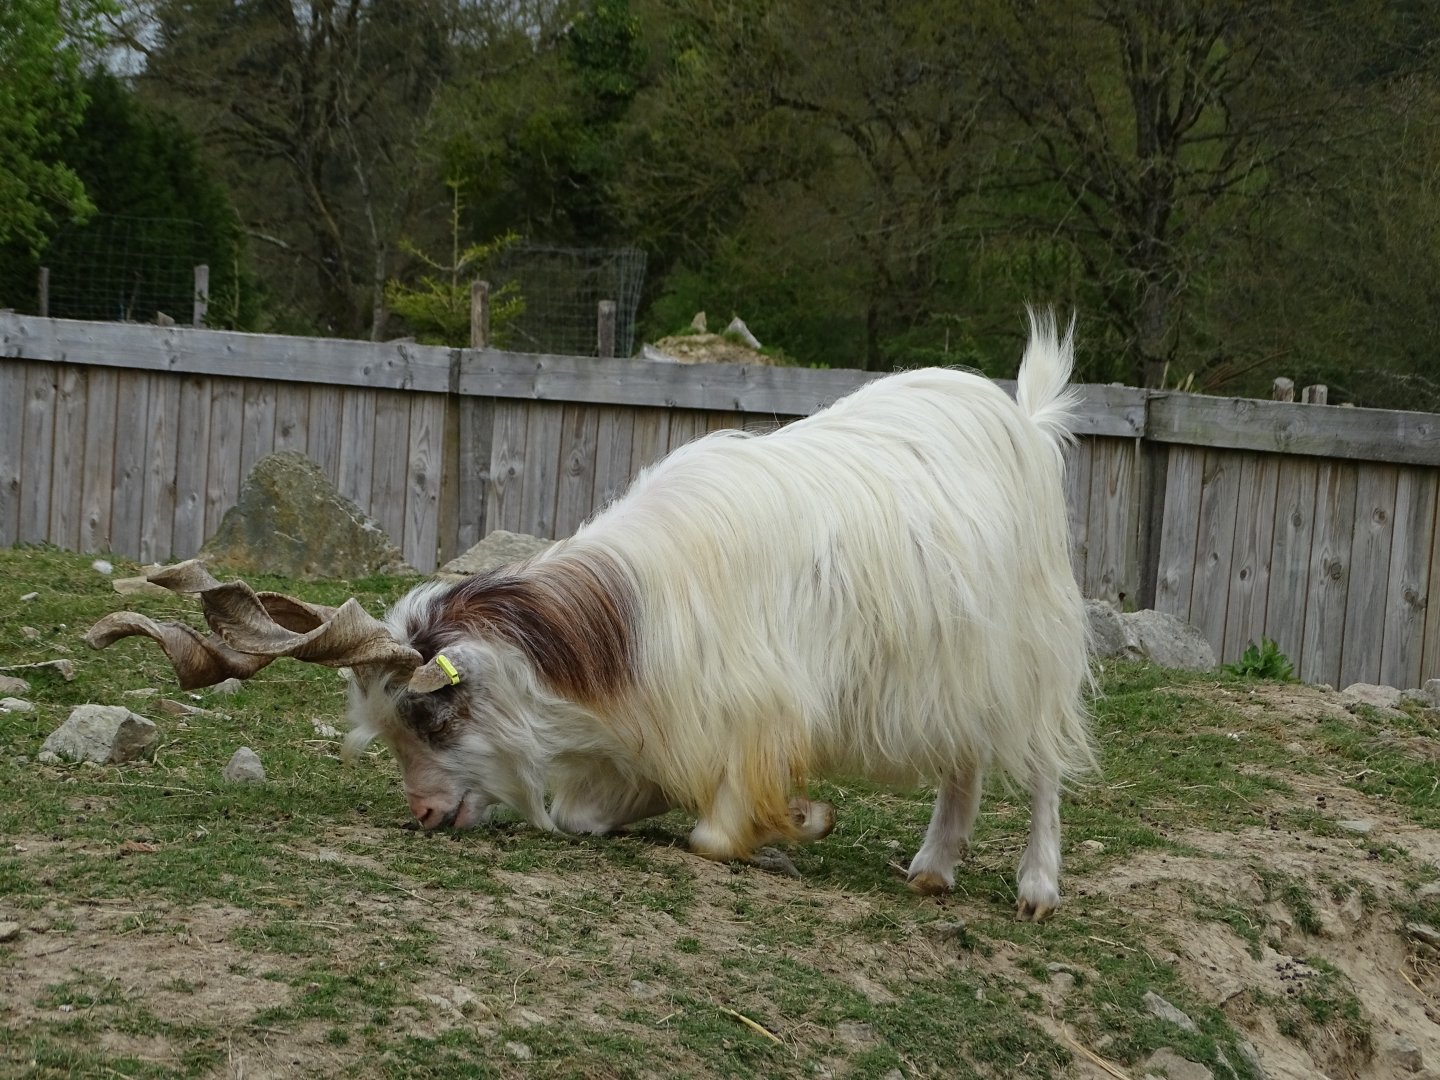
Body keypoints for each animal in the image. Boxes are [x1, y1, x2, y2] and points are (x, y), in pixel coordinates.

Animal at [89, 310, 1093, 919]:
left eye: (430, 715)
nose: (423, 814)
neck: (635, 620)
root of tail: (1024, 417)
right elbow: (589, 817)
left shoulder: (755, 716)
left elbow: (716, 834)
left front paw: (806, 819)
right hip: (955, 667)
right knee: (964, 758)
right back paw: (934, 867)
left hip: (1032, 650)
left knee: (1042, 760)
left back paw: (1036, 885)